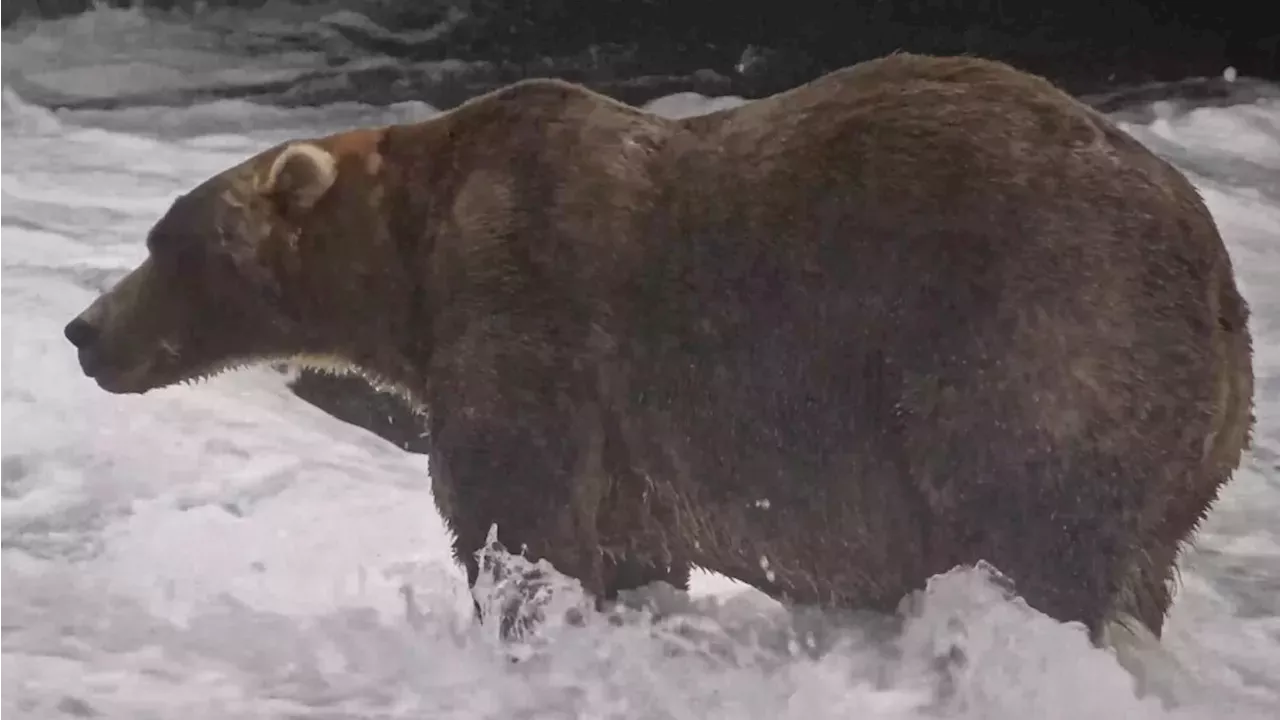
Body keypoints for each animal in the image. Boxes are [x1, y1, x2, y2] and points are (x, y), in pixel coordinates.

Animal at [64, 52, 1253, 649]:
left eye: (164, 240)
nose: (83, 331)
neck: (409, 262)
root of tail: (1216, 272)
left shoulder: (528, 307)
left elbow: (517, 518)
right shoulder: (629, 444)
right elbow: (627, 547)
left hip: (1035, 341)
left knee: (1033, 532)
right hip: (1187, 447)